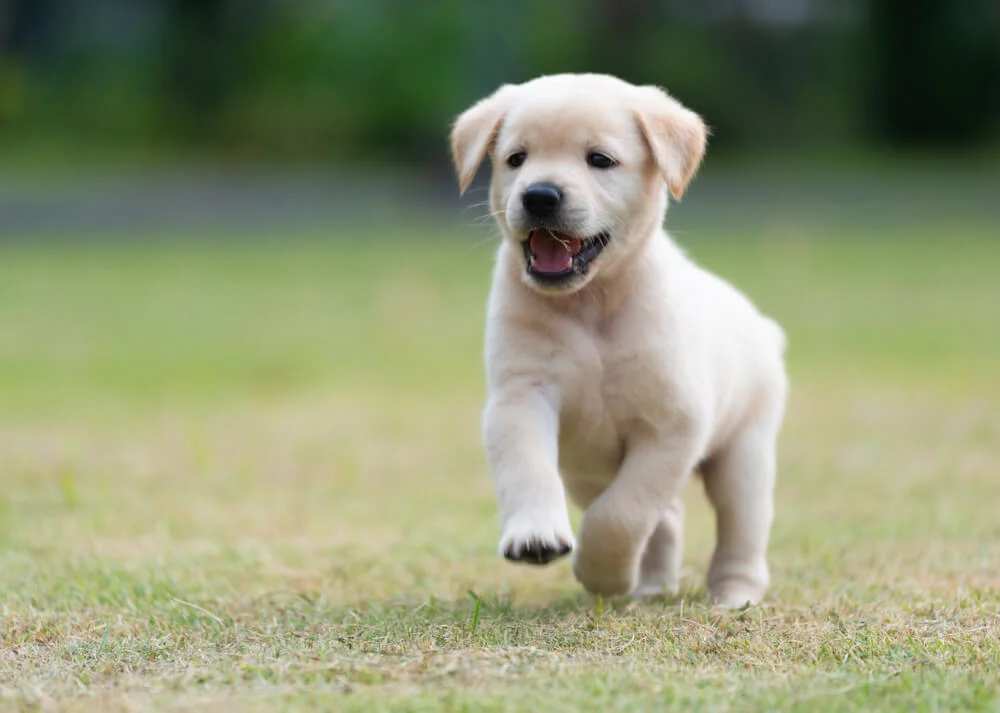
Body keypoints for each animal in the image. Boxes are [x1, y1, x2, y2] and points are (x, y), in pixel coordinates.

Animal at [450, 73, 784, 608]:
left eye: (600, 160)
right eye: (516, 158)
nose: (539, 195)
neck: (592, 304)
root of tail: (763, 327)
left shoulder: (672, 426)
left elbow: (622, 513)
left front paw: (602, 572)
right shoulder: (520, 396)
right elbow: (528, 468)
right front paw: (536, 535)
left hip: (745, 454)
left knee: (739, 530)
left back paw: (734, 595)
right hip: (585, 471)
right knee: (667, 518)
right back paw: (651, 584)